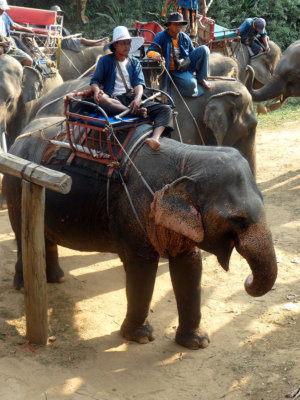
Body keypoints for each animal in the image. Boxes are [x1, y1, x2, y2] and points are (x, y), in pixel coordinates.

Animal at [3, 117, 278, 348]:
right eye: (238, 219)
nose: (247, 281)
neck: (188, 157)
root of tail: (21, 134)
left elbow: (190, 264)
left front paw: (197, 343)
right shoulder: (134, 206)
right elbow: (142, 265)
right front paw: (140, 338)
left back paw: (56, 278)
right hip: (17, 184)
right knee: (21, 232)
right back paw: (23, 286)